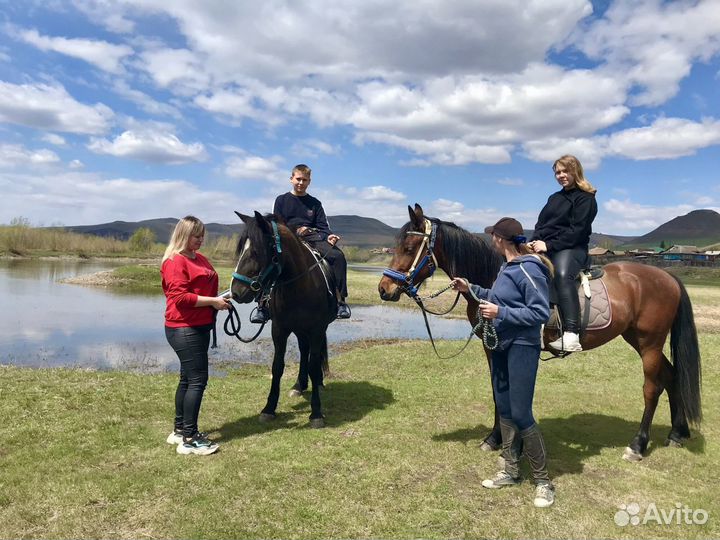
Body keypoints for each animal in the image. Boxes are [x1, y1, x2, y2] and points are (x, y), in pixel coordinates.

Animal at [229, 211, 336, 426]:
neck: (298, 287)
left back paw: (318, 383)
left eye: (256, 252)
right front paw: (269, 408)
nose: (236, 292)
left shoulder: (316, 329)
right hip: (300, 330)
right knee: (304, 351)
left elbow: (314, 365)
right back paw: (299, 385)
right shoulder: (279, 329)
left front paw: (316, 412)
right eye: (241, 250)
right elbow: (277, 367)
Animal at [380, 202, 700, 460]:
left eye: (409, 248)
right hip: (639, 339)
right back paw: (676, 433)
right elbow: (498, 392)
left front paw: (509, 443)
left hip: (649, 343)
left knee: (652, 388)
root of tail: (666, 276)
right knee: (672, 376)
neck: (495, 277)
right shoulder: (491, 346)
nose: (384, 289)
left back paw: (638, 444)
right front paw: (495, 438)